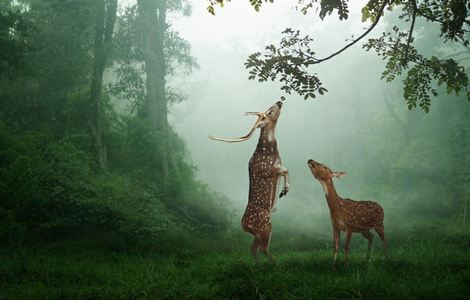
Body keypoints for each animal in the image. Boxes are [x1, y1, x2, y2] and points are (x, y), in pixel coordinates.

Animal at [210, 101, 290, 264]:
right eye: (269, 112)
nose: (279, 101)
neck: (270, 152)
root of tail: (244, 226)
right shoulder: (267, 170)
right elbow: (286, 170)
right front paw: (284, 190)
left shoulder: (277, 168)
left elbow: (286, 170)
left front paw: (282, 192)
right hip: (266, 226)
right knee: (263, 248)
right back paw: (276, 264)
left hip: (258, 232)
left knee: (253, 248)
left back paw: (259, 265)